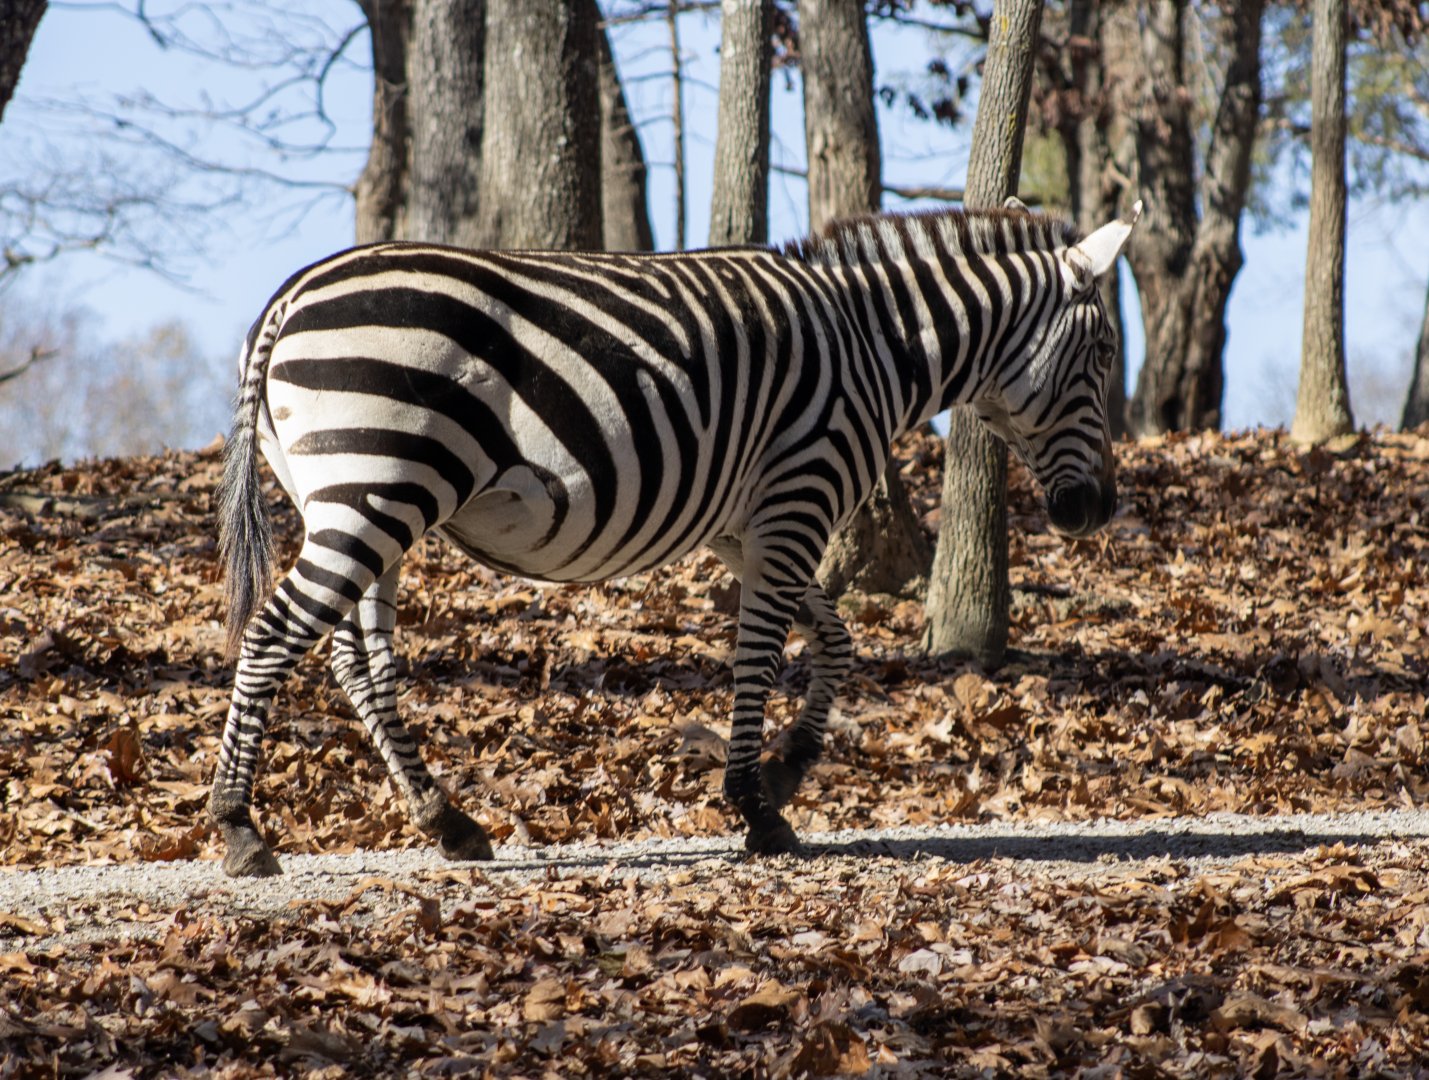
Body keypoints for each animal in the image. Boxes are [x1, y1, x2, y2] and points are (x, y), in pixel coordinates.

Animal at [210, 199, 1141, 876]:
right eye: (1101, 351)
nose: (1094, 510)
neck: (874, 344)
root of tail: (291, 295)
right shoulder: (797, 497)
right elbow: (759, 654)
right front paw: (757, 809)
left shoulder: (745, 525)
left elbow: (835, 641)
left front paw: (788, 766)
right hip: (376, 488)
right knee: (274, 635)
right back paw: (239, 829)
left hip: (364, 502)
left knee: (356, 660)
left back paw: (449, 822)